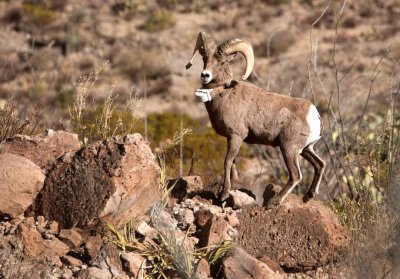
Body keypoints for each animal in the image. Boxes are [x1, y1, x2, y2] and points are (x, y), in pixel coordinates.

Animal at [184, 32, 324, 208]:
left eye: (222, 62)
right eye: (204, 59)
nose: (205, 75)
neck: (223, 94)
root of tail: (314, 114)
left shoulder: (236, 136)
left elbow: (227, 162)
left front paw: (223, 195)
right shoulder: (232, 139)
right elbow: (233, 163)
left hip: (289, 149)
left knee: (295, 175)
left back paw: (274, 202)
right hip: (306, 149)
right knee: (320, 164)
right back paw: (308, 196)